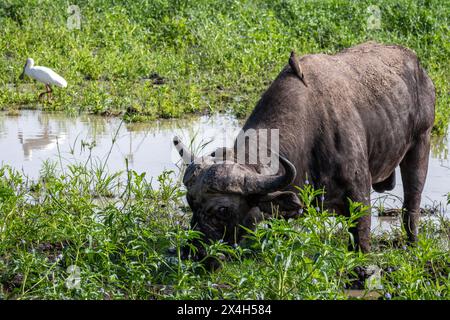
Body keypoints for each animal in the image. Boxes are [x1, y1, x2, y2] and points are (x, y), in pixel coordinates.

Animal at [173, 42, 436, 262]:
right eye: (190, 202)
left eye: (223, 210)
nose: (192, 253)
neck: (310, 131)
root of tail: (418, 65)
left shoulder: (359, 193)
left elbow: (361, 239)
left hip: (421, 142)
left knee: (412, 203)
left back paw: (412, 244)